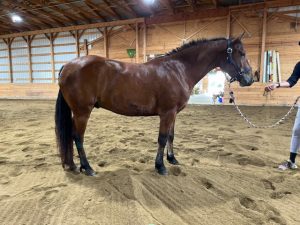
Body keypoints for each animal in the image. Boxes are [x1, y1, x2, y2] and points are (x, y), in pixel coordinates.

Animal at [55, 36, 254, 176]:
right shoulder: (167, 113)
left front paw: (172, 159)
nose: (250, 79)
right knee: (77, 137)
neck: (178, 69)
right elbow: (162, 138)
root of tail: (68, 66)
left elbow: (171, 137)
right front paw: (160, 167)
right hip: (82, 112)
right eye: (241, 53)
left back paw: (73, 165)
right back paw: (87, 168)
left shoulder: (173, 114)